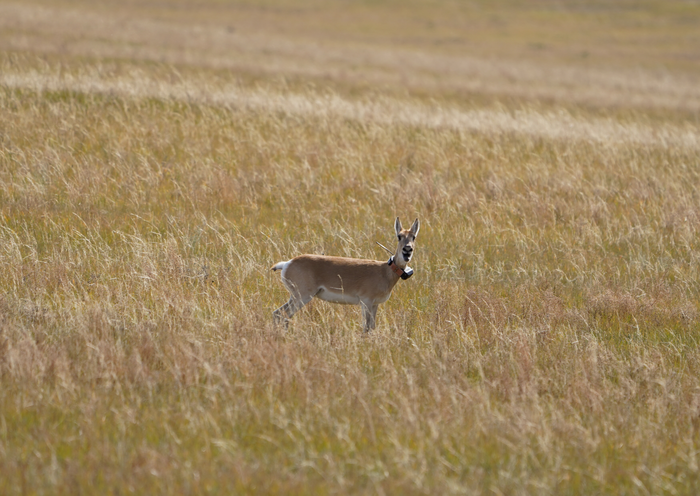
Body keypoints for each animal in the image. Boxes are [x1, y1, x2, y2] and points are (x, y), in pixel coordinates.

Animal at [272, 218, 420, 332]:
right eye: (399, 236)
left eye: (413, 237)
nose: (407, 250)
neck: (384, 271)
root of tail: (287, 263)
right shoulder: (366, 302)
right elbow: (366, 328)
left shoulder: (375, 304)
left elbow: (372, 327)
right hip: (302, 297)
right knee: (283, 314)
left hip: (295, 297)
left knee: (278, 313)